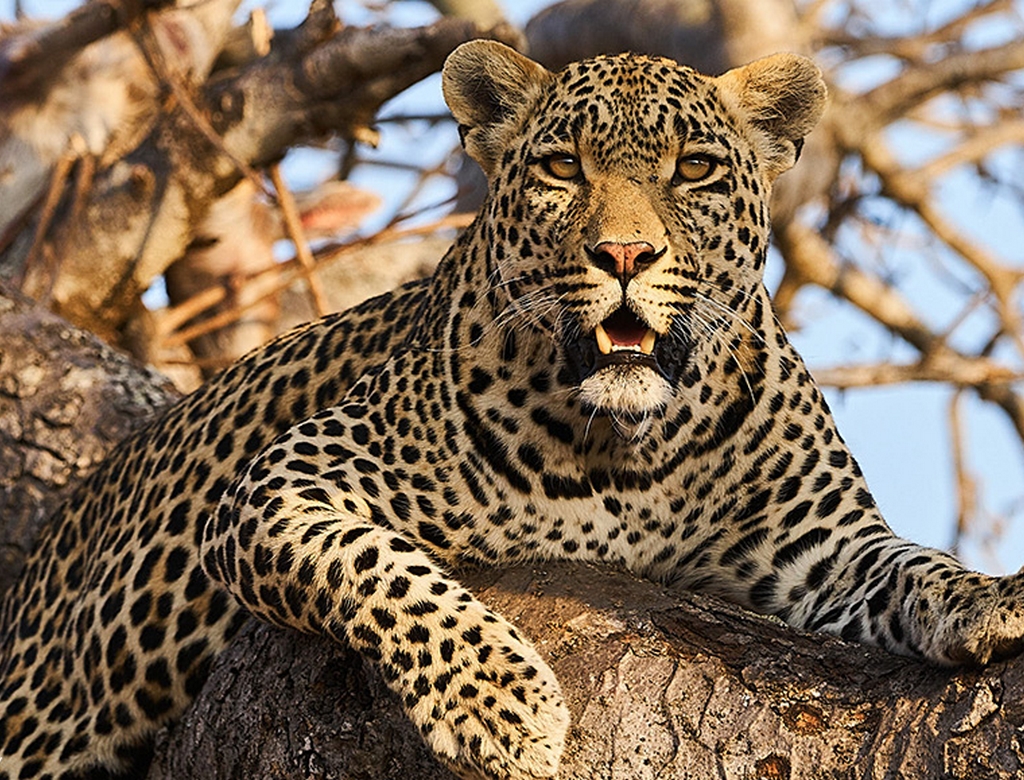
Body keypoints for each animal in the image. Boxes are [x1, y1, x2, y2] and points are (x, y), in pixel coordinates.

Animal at [3, 39, 1024, 780]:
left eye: (693, 168)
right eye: (562, 168)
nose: (624, 255)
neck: (631, 446)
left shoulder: (819, 550)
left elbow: (913, 565)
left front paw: (992, 597)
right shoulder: (288, 481)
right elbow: (382, 569)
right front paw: (497, 702)